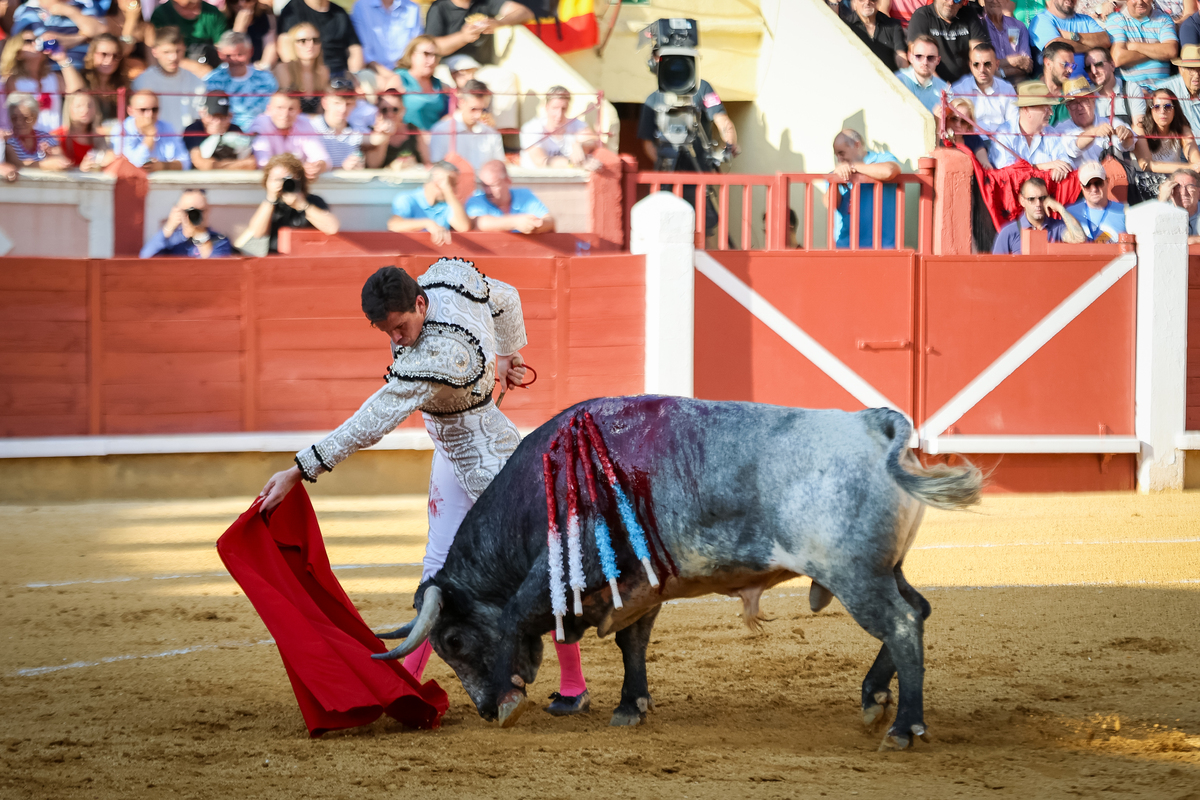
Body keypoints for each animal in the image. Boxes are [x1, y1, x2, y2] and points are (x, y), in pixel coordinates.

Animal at [376, 395, 984, 753]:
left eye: (453, 641)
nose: (480, 711)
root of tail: (874, 423)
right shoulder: (640, 586)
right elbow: (633, 643)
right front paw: (631, 706)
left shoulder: (569, 571)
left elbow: (518, 615)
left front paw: (508, 701)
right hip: (885, 570)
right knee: (917, 610)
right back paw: (874, 700)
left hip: (856, 575)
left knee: (902, 625)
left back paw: (904, 728)